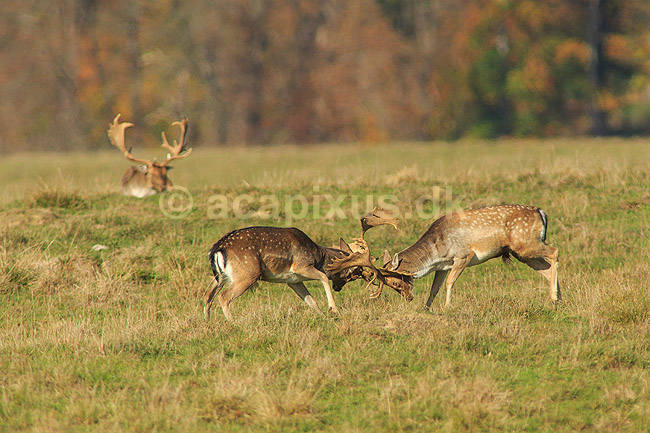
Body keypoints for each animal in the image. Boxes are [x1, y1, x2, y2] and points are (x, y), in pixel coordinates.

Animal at [204, 209, 413, 321]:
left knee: (208, 295)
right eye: (351, 275)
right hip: (247, 274)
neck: (318, 256)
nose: (338, 288)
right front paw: (333, 309)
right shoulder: (301, 266)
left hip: (221, 277)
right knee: (223, 297)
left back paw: (208, 322)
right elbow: (323, 277)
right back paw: (233, 323)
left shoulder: (293, 280)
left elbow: (309, 299)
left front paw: (322, 315)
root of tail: (217, 249)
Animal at [328, 204, 560, 309]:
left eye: (394, 282)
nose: (409, 298)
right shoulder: (442, 266)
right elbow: (434, 288)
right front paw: (426, 308)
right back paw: (557, 299)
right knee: (547, 268)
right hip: (524, 253)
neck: (437, 251)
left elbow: (449, 283)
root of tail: (542, 213)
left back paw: (555, 297)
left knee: (555, 252)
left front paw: (448, 306)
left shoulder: (463, 255)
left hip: (526, 244)